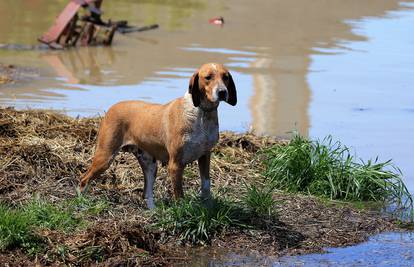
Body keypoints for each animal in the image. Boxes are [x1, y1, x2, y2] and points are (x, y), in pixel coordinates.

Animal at [80, 63, 236, 209]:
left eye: (226, 77)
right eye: (208, 77)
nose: (222, 92)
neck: (202, 113)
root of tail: (113, 107)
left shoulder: (205, 155)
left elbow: (206, 185)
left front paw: (208, 207)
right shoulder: (175, 165)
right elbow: (179, 196)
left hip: (150, 165)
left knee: (147, 193)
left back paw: (154, 211)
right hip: (105, 158)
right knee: (84, 179)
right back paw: (80, 202)